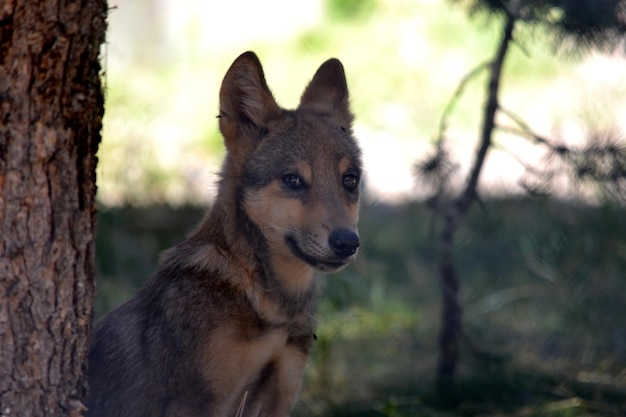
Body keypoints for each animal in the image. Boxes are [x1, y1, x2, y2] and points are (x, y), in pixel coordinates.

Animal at [86, 52, 360, 416]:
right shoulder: (197, 405)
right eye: (292, 180)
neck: (271, 306)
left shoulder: (279, 395)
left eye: (350, 180)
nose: (348, 243)